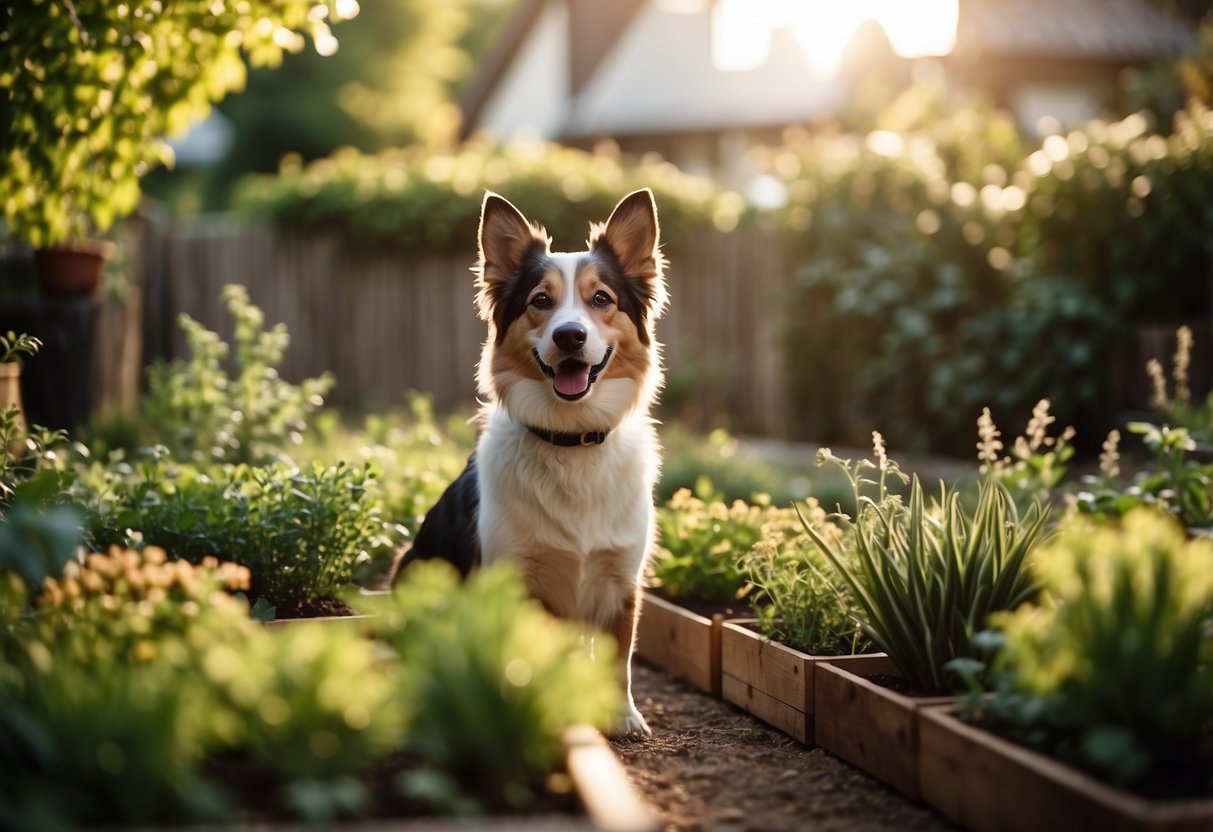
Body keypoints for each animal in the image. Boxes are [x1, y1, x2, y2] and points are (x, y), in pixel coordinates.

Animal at [395, 189, 664, 737]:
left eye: (601, 299)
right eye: (541, 300)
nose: (569, 337)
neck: (572, 441)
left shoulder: (621, 580)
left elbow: (619, 659)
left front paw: (622, 715)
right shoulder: (513, 580)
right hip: (410, 566)